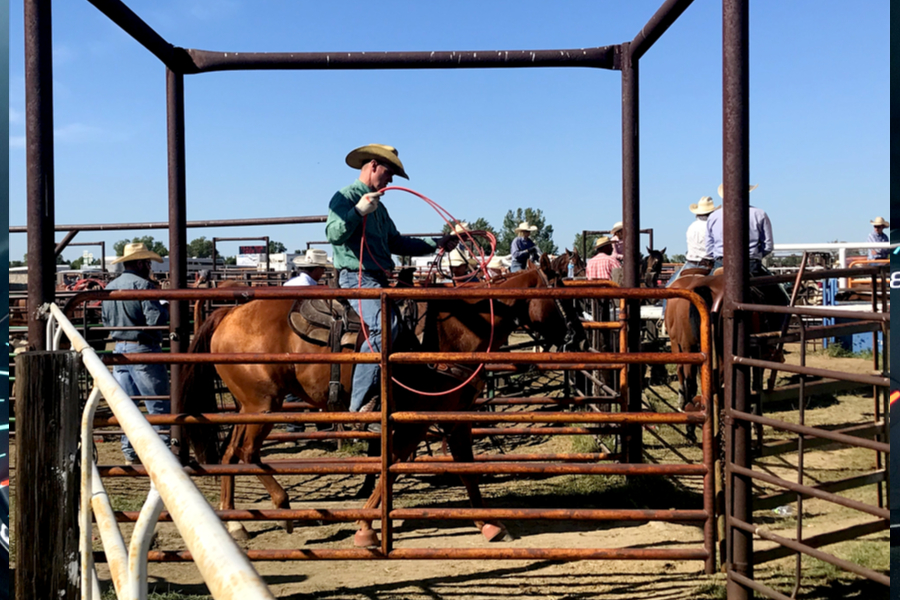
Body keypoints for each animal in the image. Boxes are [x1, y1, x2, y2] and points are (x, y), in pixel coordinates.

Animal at [181, 255, 584, 548]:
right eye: (566, 300)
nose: (578, 336)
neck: (459, 329)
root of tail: (227, 312)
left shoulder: (452, 415)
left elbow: (461, 466)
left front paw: (488, 523)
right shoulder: (420, 415)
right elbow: (398, 461)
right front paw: (365, 527)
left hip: (247, 406)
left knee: (231, 454)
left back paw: (235, 523)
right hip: (264, 405)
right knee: (247, 452)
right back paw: (283, 507)